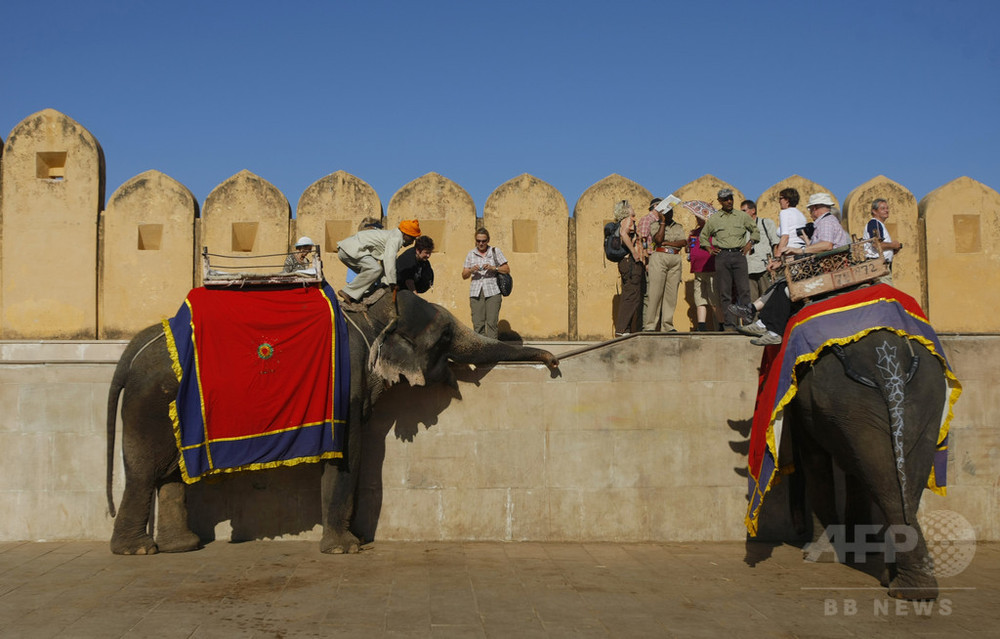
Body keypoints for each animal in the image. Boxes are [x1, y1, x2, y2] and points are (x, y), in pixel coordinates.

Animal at [107, 290, 564, 556]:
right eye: (447, 338)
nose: (554, 363)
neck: (374, 314)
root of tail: (130, 350)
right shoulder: (346, 384)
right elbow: (350, 452)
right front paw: (348, 549)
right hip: (150, 402)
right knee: (145, 473)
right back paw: (138, 552)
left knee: (169, 474)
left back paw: (182, 547)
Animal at [780, 330, 952, 600]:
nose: (797, 530)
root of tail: (892, 366)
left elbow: (816, 460)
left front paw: (817, 554)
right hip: (921, 397)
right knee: (898, 479)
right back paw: (911, 587)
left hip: (850, 399)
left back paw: (906, 588)